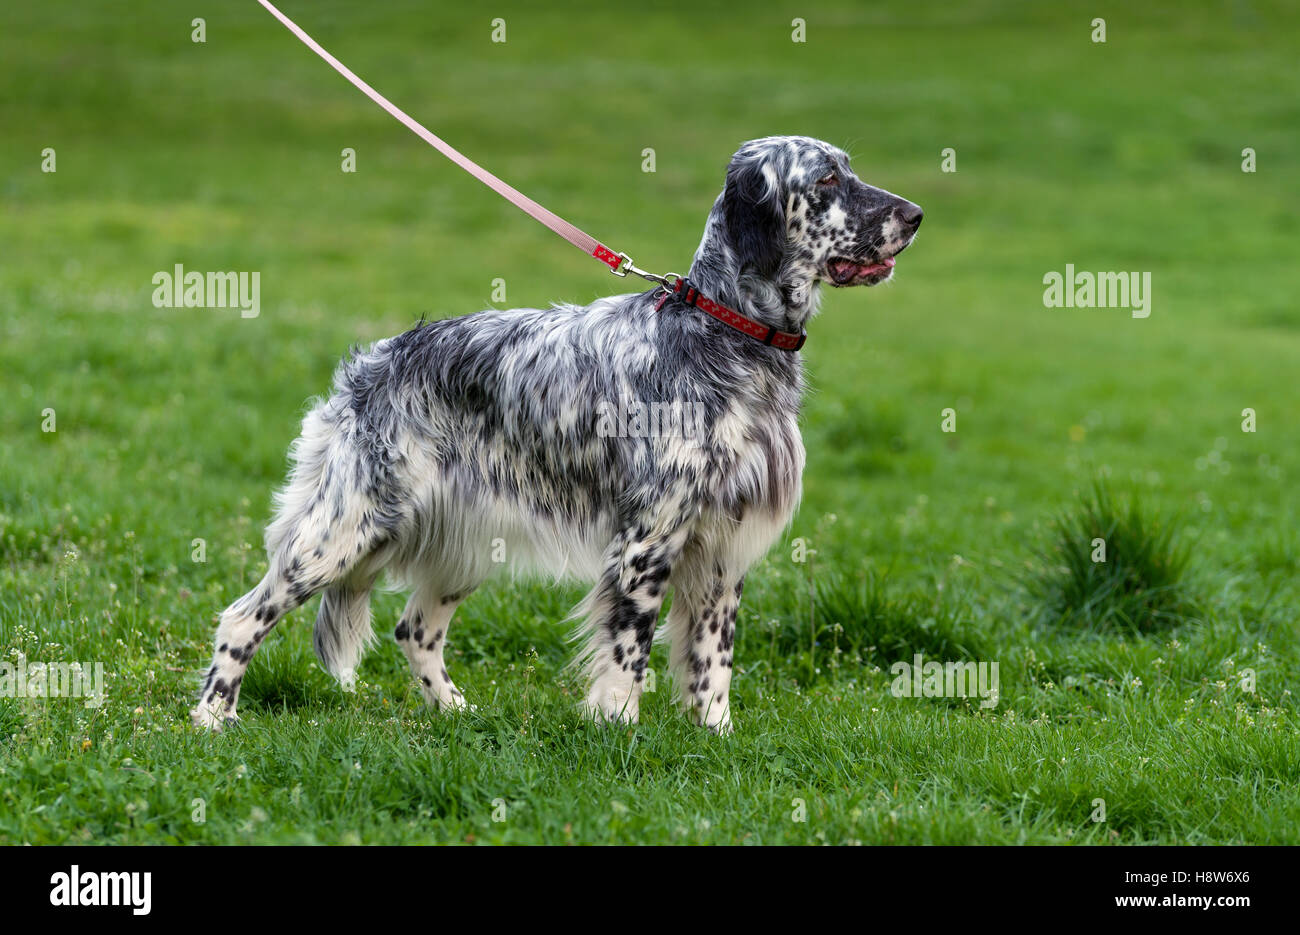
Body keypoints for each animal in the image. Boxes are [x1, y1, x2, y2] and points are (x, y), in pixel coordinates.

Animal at [195, 135, 925, 733]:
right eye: (826, 179)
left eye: (850, 170)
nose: (915, 215)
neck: (726, 331)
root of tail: (373, 361)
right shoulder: (647, 541)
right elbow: (629, 653)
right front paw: (617, 729)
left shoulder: (723, 548)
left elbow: (711, 661)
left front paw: (714, 734)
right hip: (346, 526)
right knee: (244, 615)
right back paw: (212, 717)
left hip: (463, 539)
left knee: (414, 629)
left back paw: (455, 711)